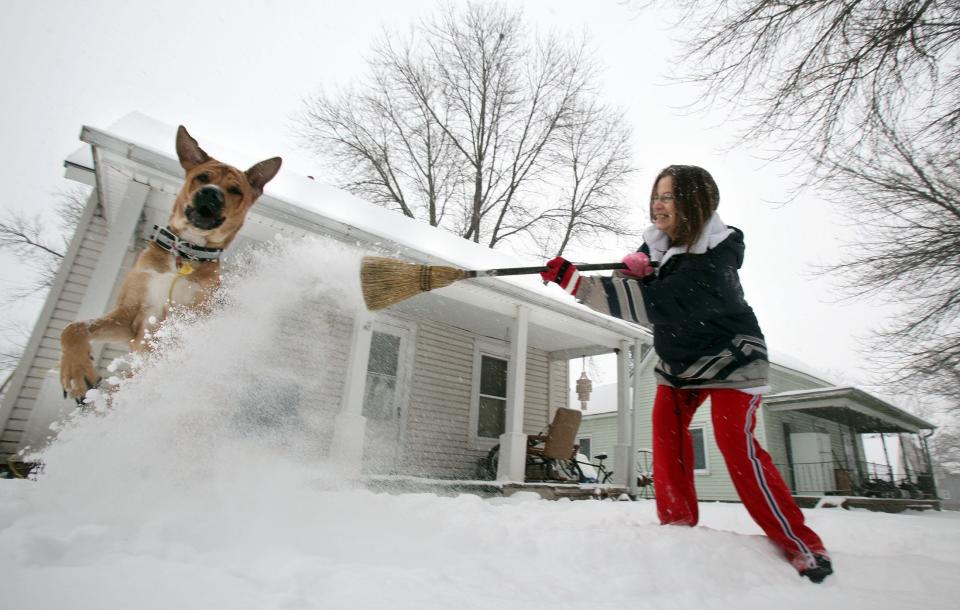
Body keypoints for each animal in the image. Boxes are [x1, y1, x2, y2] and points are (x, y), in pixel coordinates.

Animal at [59, 124, 280, 400]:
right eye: (203, 177)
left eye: (235, 190)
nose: (210, 193)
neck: (183, 253)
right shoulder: (130, 316)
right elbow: (74, 327)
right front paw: (75, 372)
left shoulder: (195, 313)